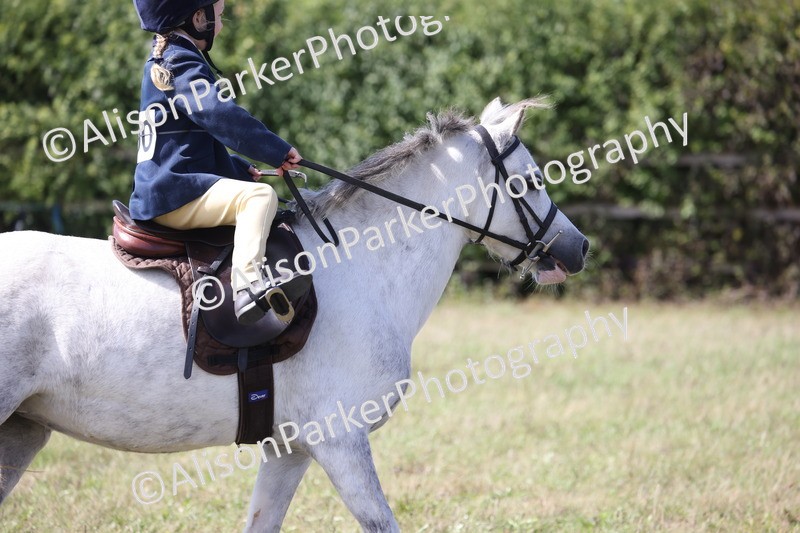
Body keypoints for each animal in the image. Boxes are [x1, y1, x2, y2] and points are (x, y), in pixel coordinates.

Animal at [0, 98, 589, 531]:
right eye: (531, 181)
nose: (578, 249)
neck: (357, 266)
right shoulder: (341, 441)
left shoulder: (291, 448)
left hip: (23, 430)